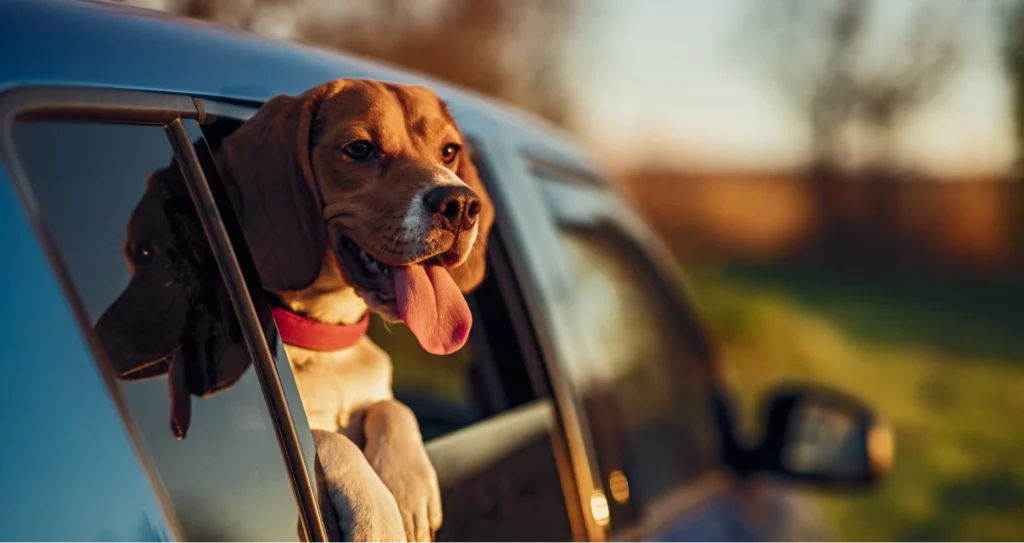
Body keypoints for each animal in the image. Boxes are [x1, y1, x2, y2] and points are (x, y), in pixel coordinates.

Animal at [217, 77, 499, 540]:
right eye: (360, 149)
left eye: (449, 150)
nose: (461, 205)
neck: (327, 341)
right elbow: (328, 437)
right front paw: (379, 517)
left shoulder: (382, 395)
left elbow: (393, 407)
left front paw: (407, 484)